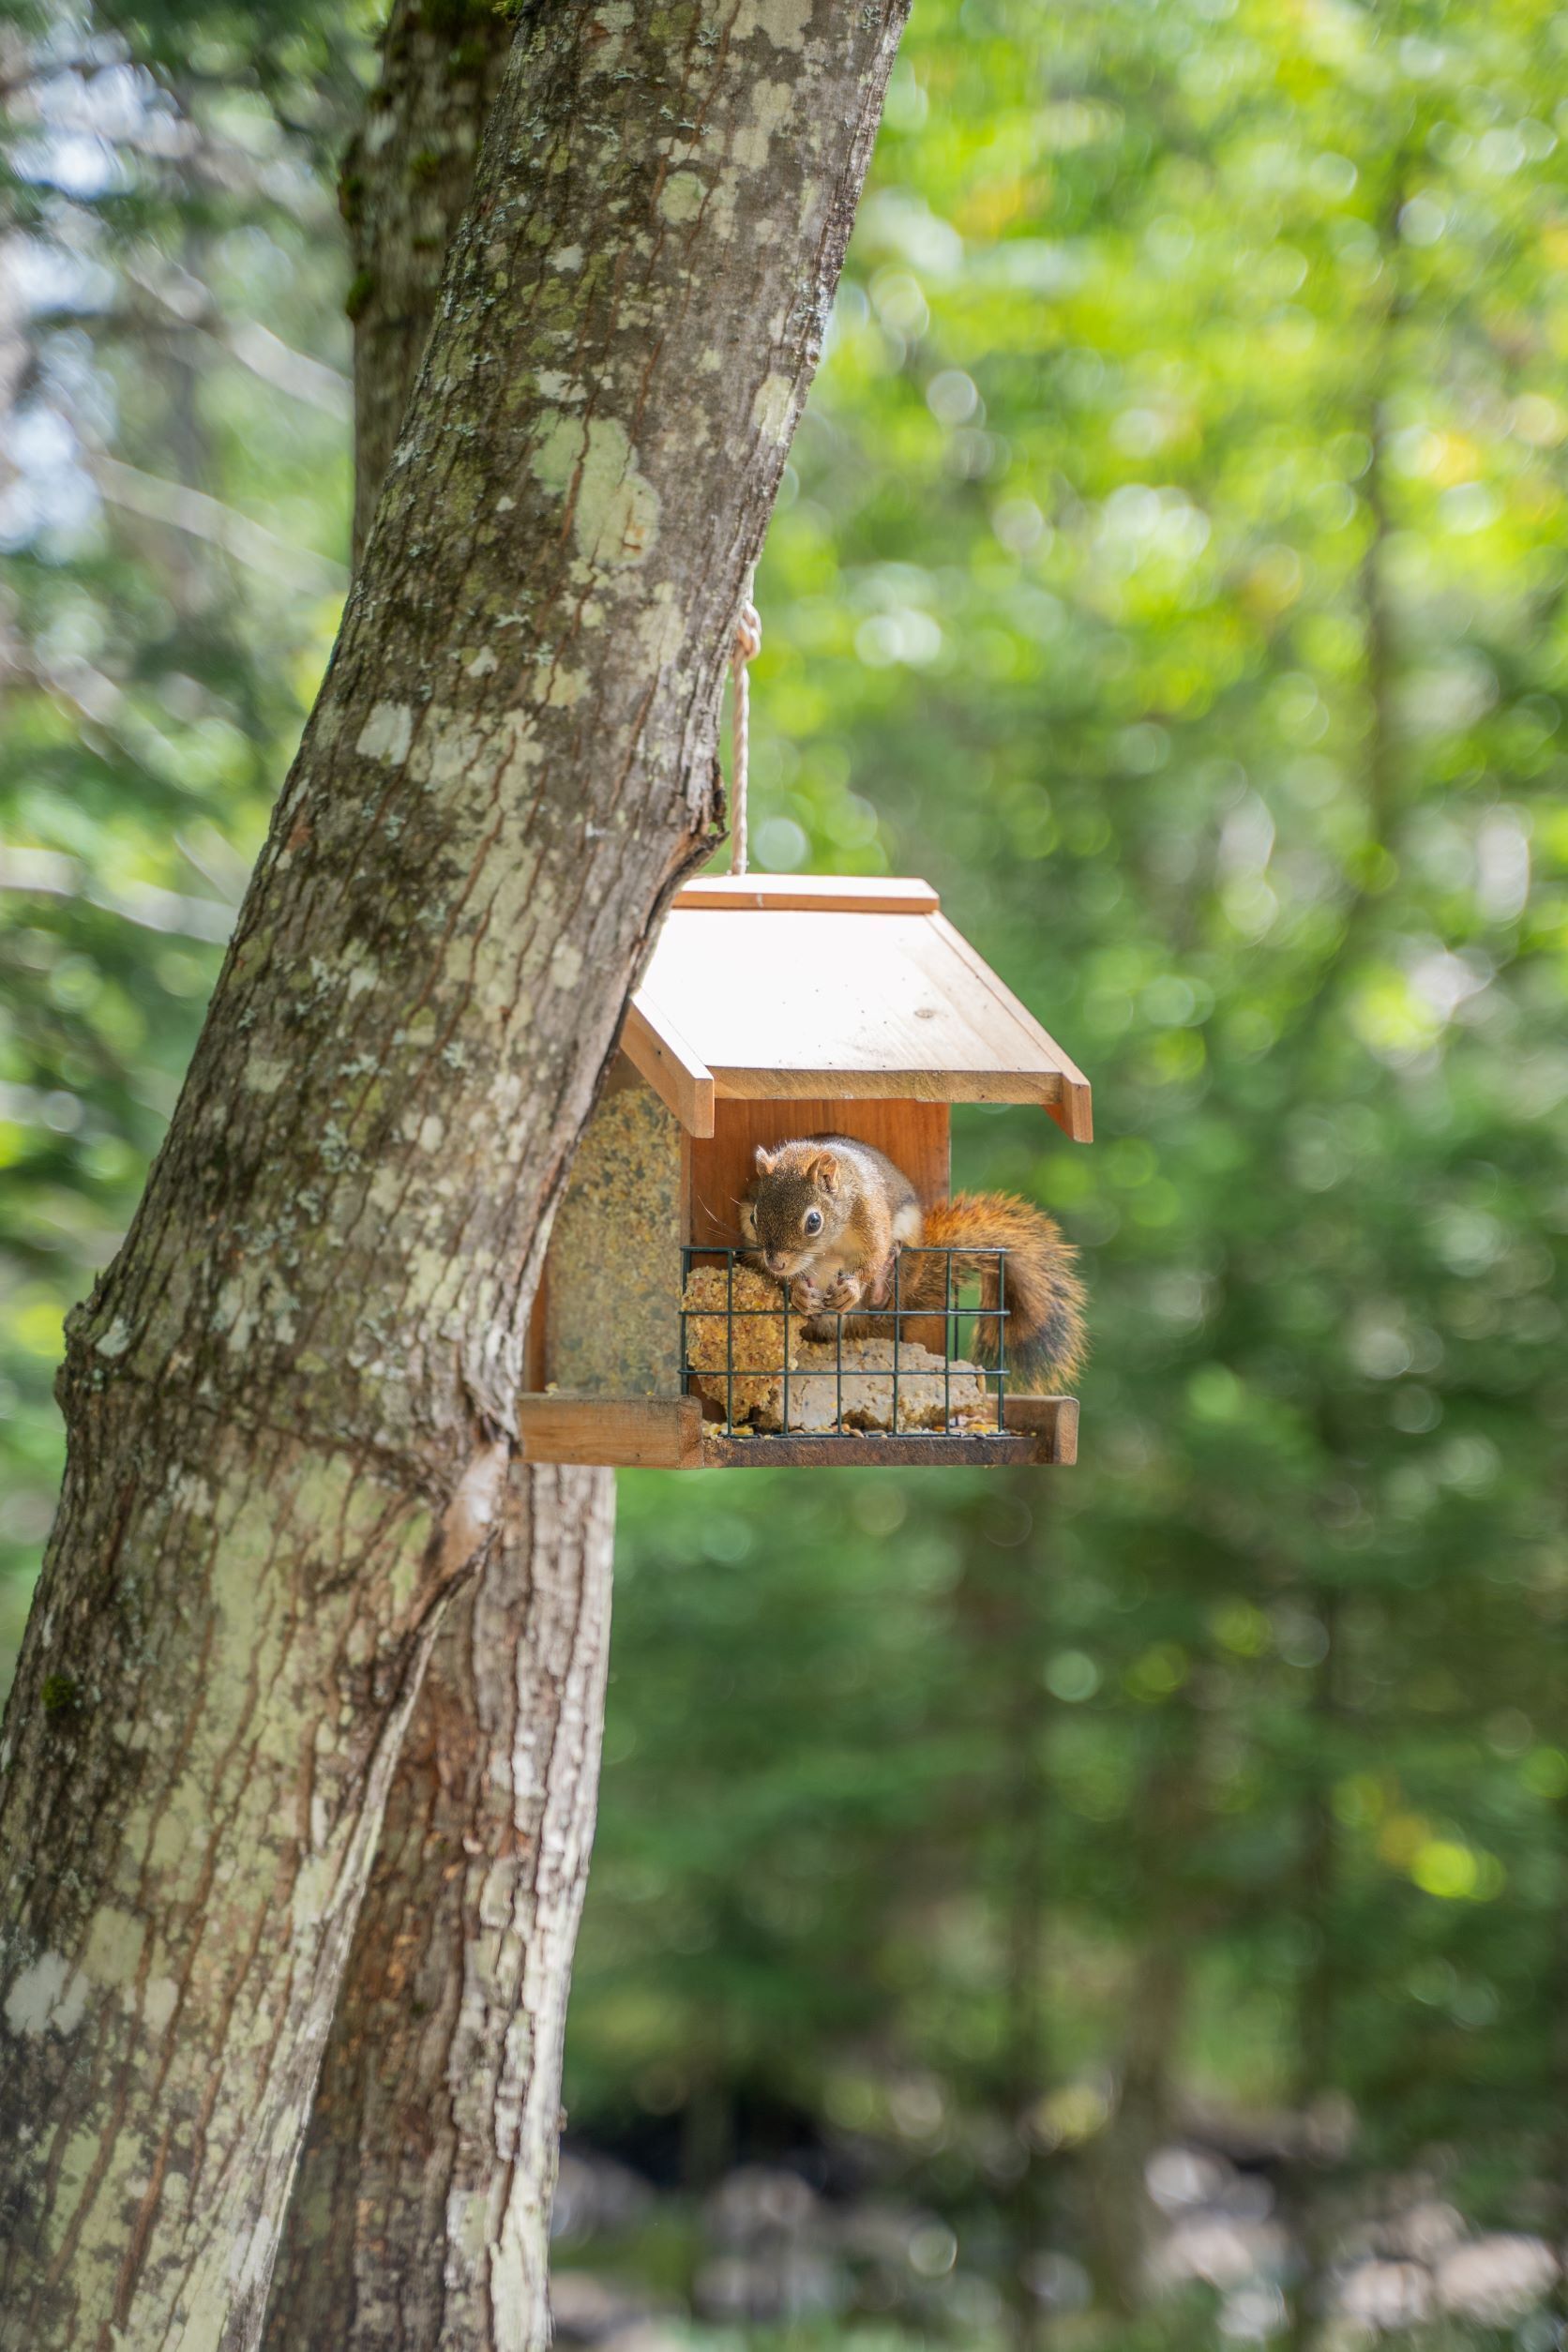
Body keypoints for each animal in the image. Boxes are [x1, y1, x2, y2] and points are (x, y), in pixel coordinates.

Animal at [740, 1133, 1085, 1393]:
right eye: (754, 1217)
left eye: (813, 1222)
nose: (776, 1263)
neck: (827, 1246)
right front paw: (798, 1291)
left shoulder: (871, 1217)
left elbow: (873, 1256)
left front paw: (852, 1288)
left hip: (905, 1260)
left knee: (883, 1288)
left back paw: (878, 1289)